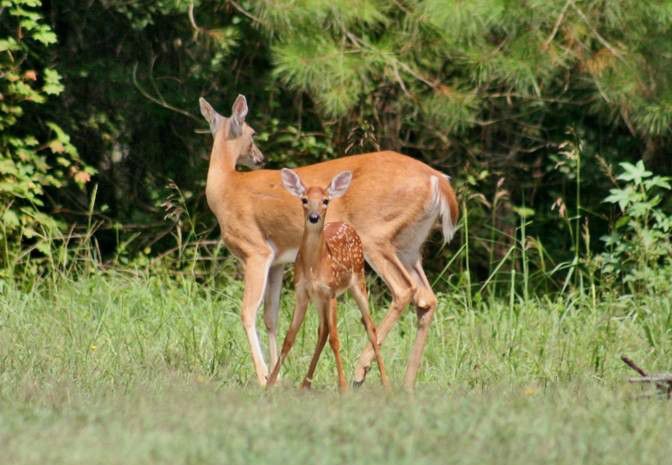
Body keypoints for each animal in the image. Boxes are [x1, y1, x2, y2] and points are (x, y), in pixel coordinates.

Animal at [266, 169, 388, 390]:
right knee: (322, 331)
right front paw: (270, 384)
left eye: (325, 200)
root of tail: (347, 225)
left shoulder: (330, 292)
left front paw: (343, 387)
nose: (314, 217)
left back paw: (386, 383)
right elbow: (289, 337)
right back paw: (304, 385)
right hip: (319, 298)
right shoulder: (302, 292)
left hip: (358, 281)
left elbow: (335, 339)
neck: (314, 266)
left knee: (370, 326)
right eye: (304, 199)